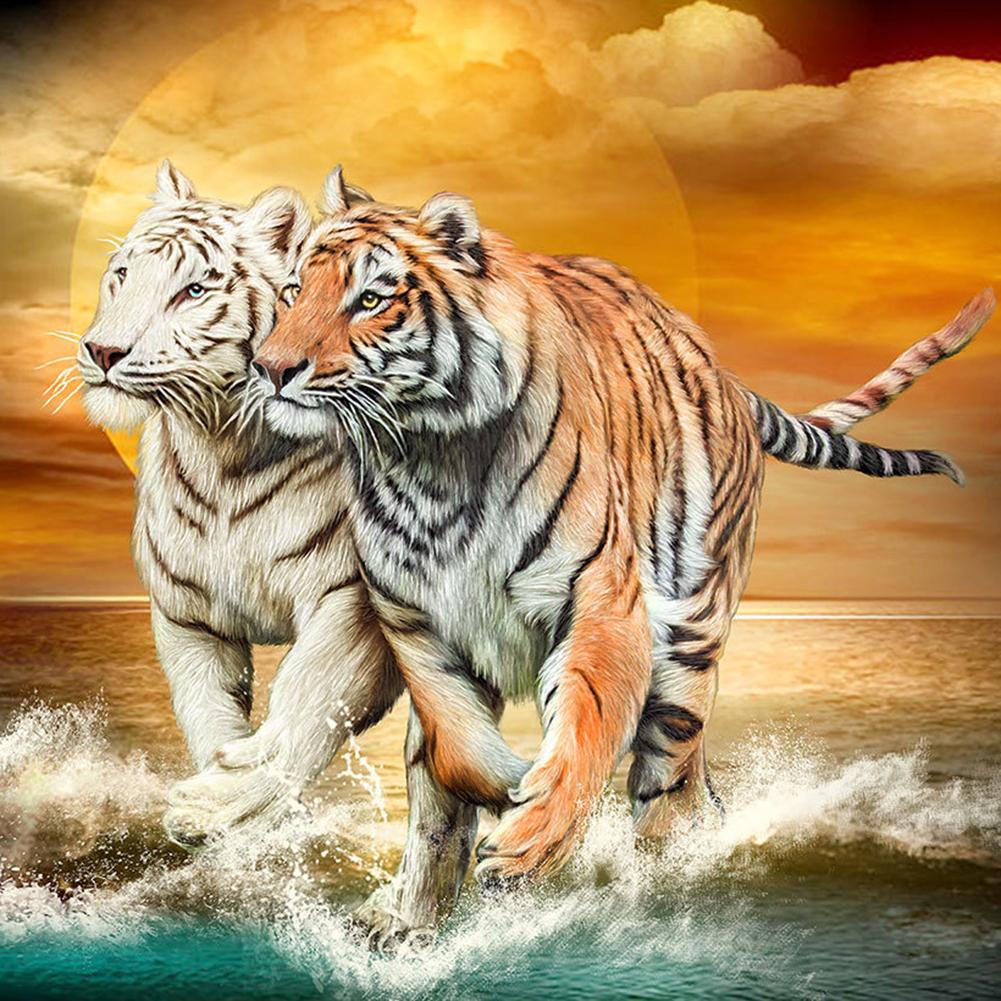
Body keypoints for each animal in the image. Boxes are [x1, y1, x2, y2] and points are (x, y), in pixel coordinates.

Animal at [76, 161, 400, 849]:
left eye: (194, 291)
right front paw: (212, 801)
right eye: (121, 274)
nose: (103, 353)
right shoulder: (186, 614)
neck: (222, 450)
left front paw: (226, 803)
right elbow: (206, 709)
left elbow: (310, 693)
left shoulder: (353, 599)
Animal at [250, 166, 992, 944]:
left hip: (690, 636)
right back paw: (405, 919)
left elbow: (588, 720)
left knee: (674, 784)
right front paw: (505, 784)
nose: (269, 367)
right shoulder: (413, 619)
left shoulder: (600, 599)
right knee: (443, 802)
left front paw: (530, 837)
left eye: (369, 299)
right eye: (293, 290)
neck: (427, 454)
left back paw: (663, 882)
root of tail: (725, 376)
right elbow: (451, 746)